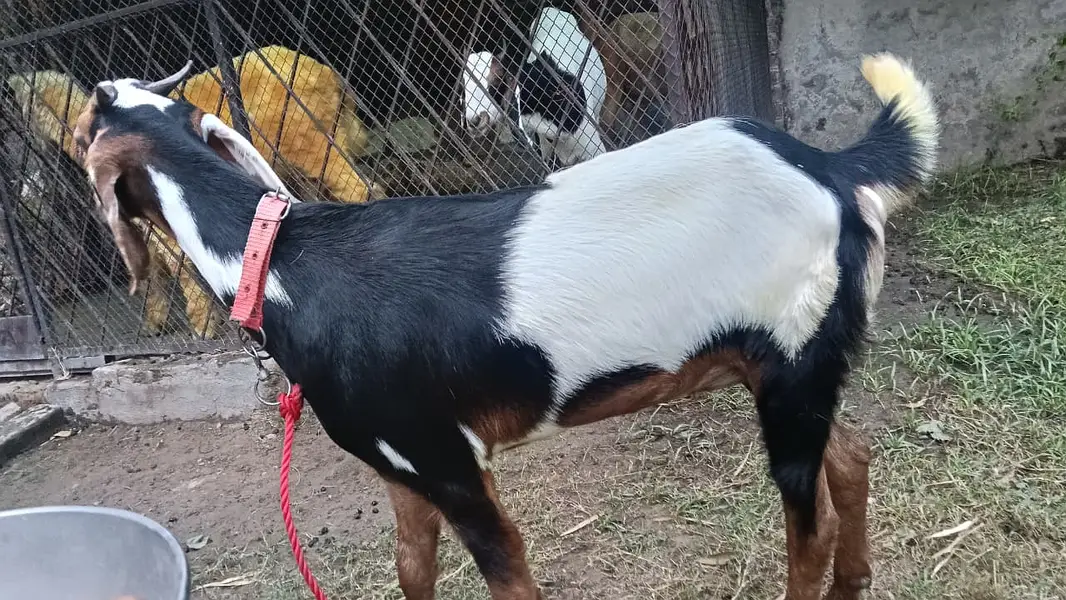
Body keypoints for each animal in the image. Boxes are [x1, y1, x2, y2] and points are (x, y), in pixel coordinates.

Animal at [9, 47, 379, 338]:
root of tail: (327, 74)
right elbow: (154, 277)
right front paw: (155, 323)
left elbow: (185, 271)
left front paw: (202, 325)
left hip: (313, 146)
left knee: (359, 189)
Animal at [71, 52, 938, 600]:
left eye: (84, 129)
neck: (283, 266)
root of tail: (835, 170)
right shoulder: (402, 469)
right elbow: (411, 570)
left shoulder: (452, 465)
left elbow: (508, 576)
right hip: (796, 360)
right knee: (852, 455)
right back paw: (857, 582)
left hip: (790, 366)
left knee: (809, 523)